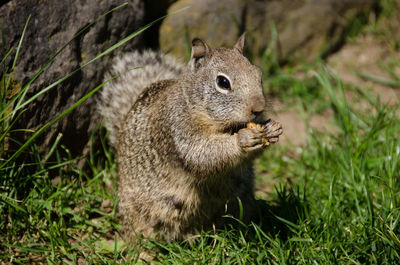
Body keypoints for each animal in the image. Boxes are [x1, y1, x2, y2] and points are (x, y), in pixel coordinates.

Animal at [98, 34, 282, 242]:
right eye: (223, 82)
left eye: (259, 74)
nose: (258, 108)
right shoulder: (176, 130)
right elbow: (201, 155)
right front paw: (242, 140)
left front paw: (272, 128)